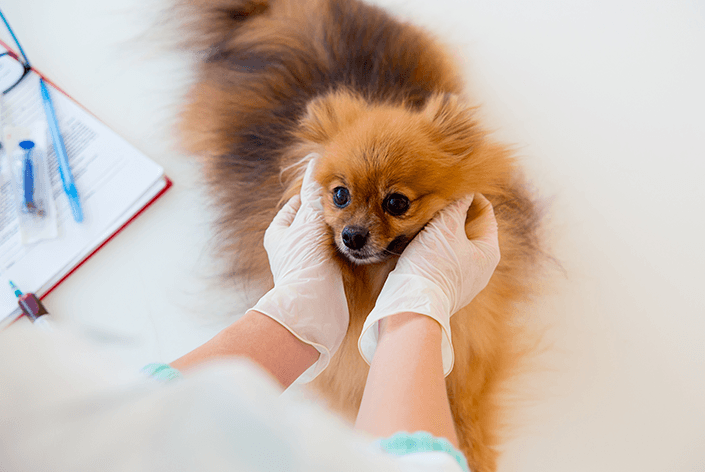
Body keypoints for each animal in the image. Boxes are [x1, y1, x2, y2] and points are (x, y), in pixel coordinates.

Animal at [179, 0, 540, 468]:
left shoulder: (472, 343)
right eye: (340, 195)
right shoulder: (350, 375)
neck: (374, 281)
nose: (351, 235)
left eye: (397, 203)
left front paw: (474, 452)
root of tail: (277, 10)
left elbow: (465, 401)